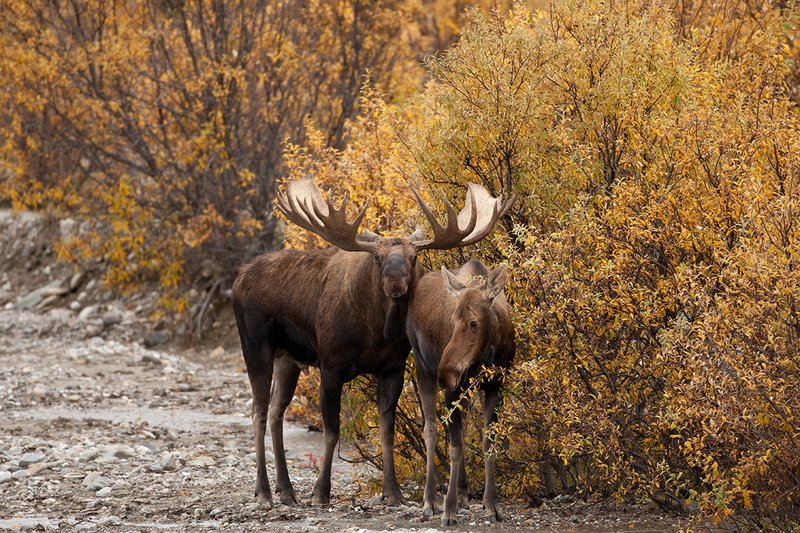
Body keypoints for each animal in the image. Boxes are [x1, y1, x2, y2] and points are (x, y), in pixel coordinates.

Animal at [406, 259, 516, 526]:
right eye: (453, 319)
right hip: (422, 367)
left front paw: (491, 505)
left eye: (473, 323)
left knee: (460, 429)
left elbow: (487, 443)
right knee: (431, 429)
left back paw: (463, 493)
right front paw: (449, 509)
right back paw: (430, 501)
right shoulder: (453, 390)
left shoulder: (496, 386)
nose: (446, 373)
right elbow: (455, 448)